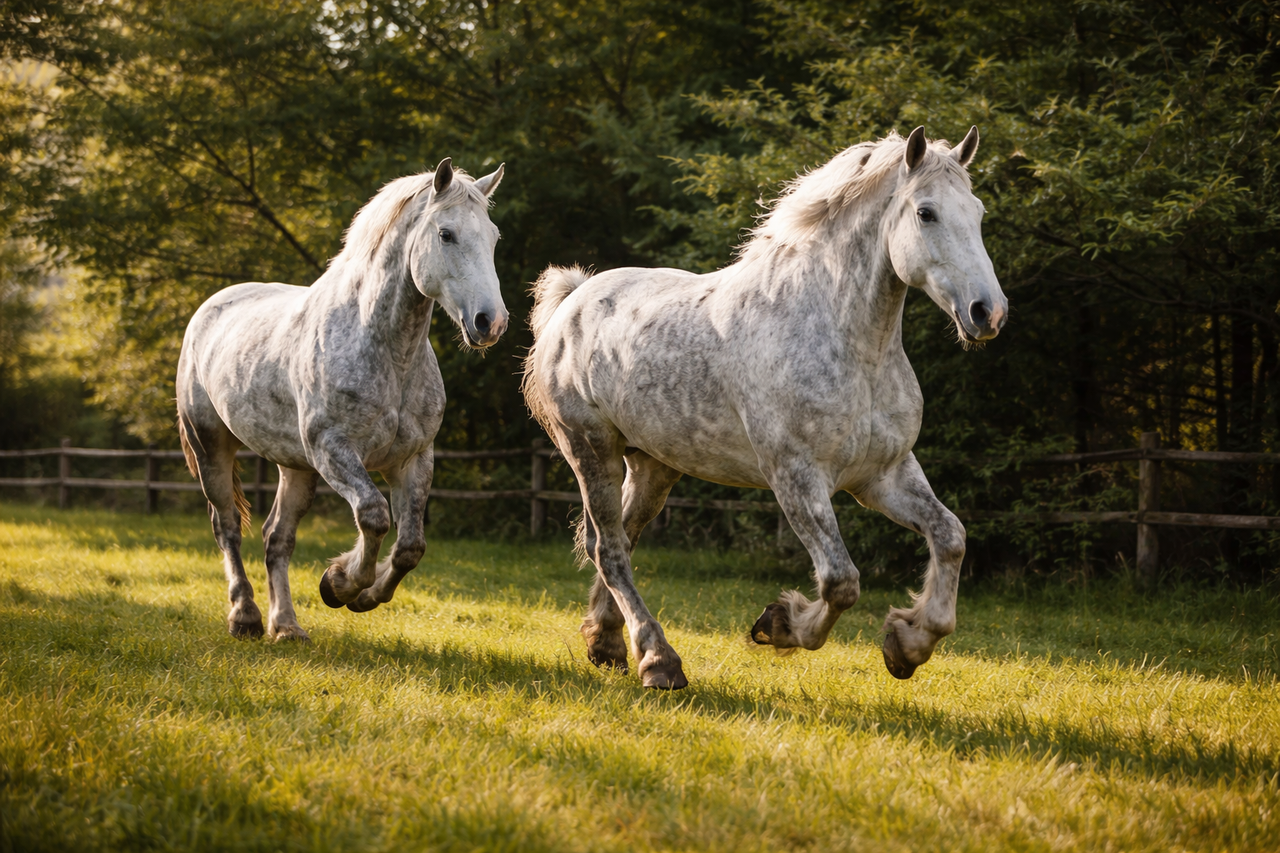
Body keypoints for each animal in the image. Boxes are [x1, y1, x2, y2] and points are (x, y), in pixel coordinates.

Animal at [176, 158, 507, 641]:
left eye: (494, 236)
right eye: (446, 234)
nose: (490, 322)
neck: (386, 352)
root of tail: (210, 307)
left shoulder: (413, 459)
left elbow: (410, 546)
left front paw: (362, 594)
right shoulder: (334, 451)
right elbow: (374, 516)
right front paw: (339, 584)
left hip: (294, 466)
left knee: (277, 537)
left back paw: (287, 626)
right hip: (210, 446)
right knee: (228, 527)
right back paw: (246, 617)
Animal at [522, 126, 1005, 688]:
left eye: (978, 211)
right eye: (926, 213)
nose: (987, 313)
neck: (850, 344)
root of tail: (573, 300)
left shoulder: (882, 475)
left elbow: (950, 538)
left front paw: (907, 645)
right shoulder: (795, 477)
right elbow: (841, 581)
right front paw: (778, 624)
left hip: (653, 466)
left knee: (622, 538)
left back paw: (607, 644)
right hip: (590, 450)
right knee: (610, 549)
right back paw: (659, 661)